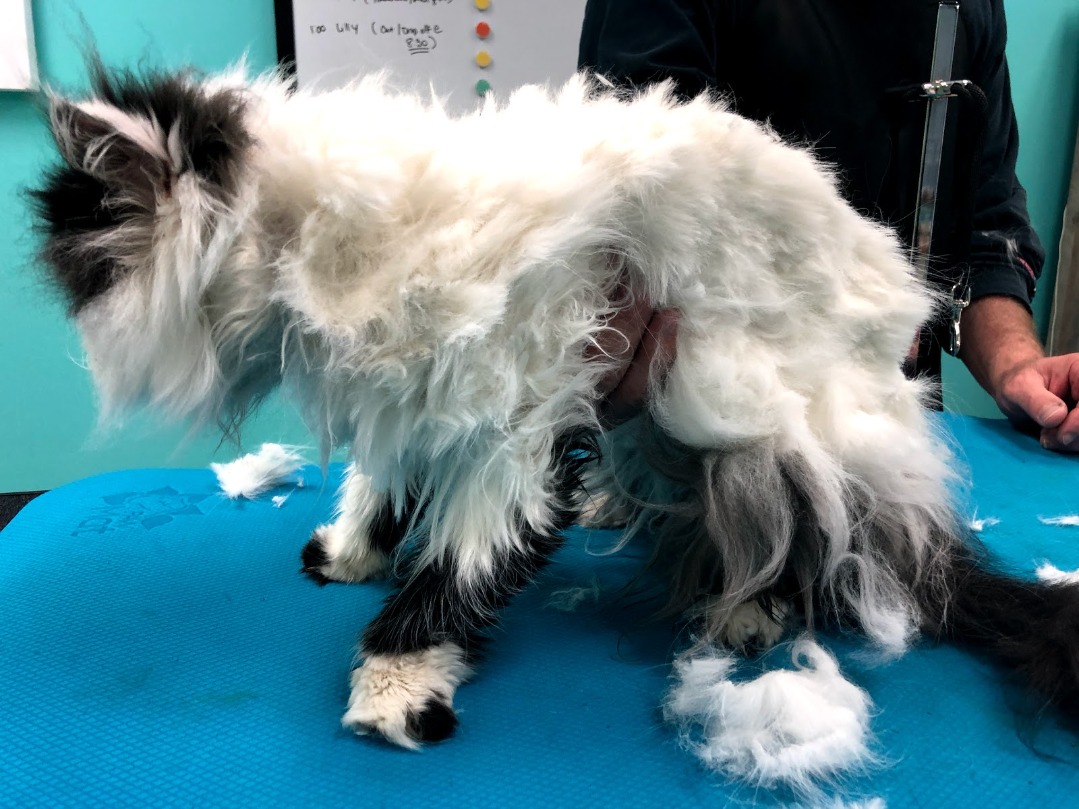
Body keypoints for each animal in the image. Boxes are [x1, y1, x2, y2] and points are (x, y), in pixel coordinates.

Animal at [31, 61, 1079, 774]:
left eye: (78, 264)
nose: (66, 330)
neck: (318, 241)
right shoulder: (418, 403)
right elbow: (383, 480)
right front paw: (352, 549)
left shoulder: (516, 416)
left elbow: (455, 569)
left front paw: (394, 687)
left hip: (753, 430)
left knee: (813, 546)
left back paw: (743, 608)